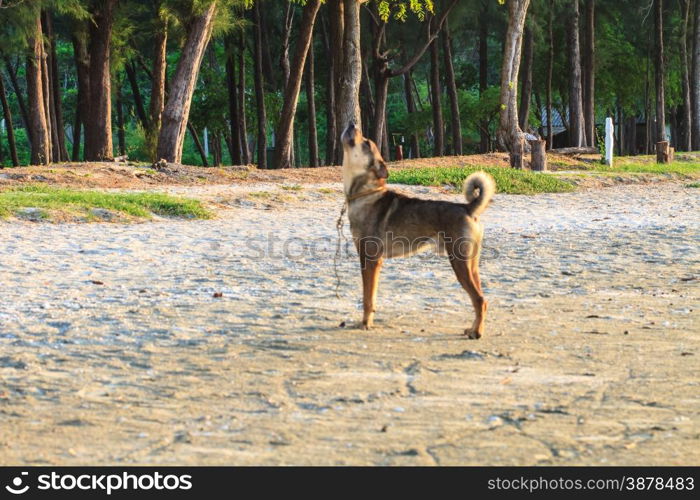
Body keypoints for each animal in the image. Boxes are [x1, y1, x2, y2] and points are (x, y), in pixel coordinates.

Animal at [340, 122, 494, 338]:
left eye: (367, 142)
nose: (353, 123)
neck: (365, 194)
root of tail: (468, 207)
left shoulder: (369, 260)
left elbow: (367, 298)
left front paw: (365, 323)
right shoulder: (374, 262)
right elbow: (373, 296)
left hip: (459, 264)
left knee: (480, 300)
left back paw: (477, 332)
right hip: (472, 266)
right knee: (480, 299)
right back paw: (472, 328)